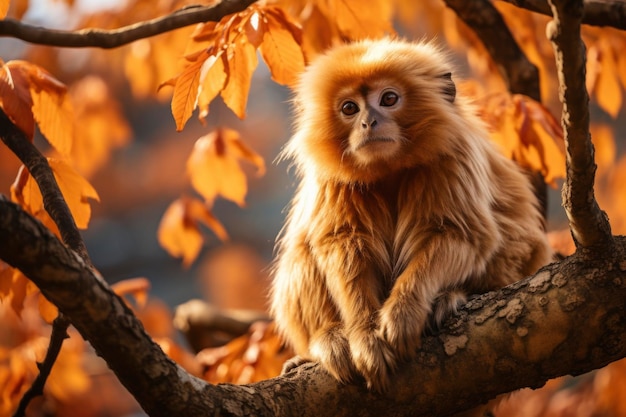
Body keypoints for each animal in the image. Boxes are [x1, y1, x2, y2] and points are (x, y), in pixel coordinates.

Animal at [270, 38, 552, 394]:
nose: (368, 122)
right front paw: (364, 335)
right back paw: (327, 339)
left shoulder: (454, 156)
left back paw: (452, 297)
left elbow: (459, 234)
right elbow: (342, 243)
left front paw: (403, 313)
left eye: (388, 99)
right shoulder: (333, 180)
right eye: (349, 108)